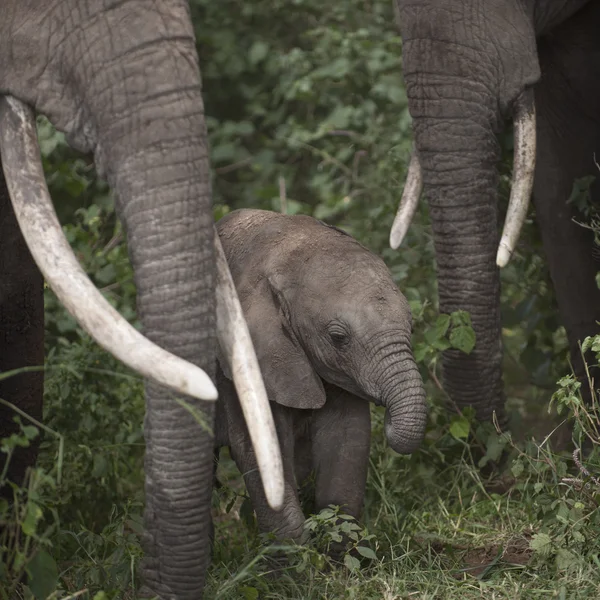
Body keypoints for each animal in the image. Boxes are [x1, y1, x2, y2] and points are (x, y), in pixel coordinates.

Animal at [213, 211, 428, 544]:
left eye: (412, 326)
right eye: (338, 338)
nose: (389, 420)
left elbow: (347, 437)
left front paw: (336, 545)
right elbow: (258, 447)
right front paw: (296, 554)